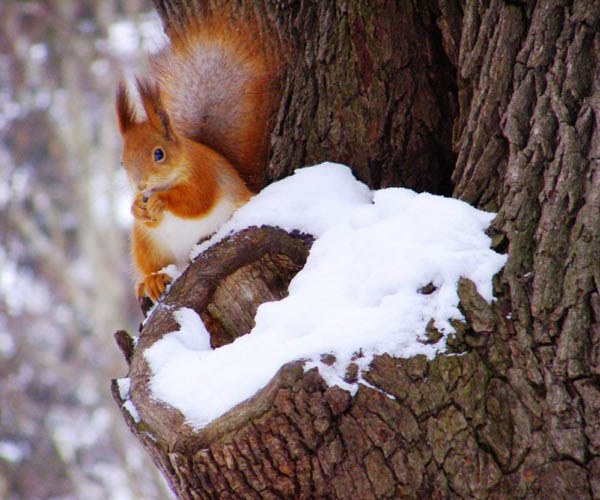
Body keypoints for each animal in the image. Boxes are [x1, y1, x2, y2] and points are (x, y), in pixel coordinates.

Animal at [115, 10, 276, 300]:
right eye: (122, 162)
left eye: (159, 154)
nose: (141, 186)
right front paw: (135, 207)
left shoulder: (204, 174)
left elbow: (195, 201)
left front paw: (161, 200)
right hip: (146, 243)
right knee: (152, 264)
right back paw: (153, 280)